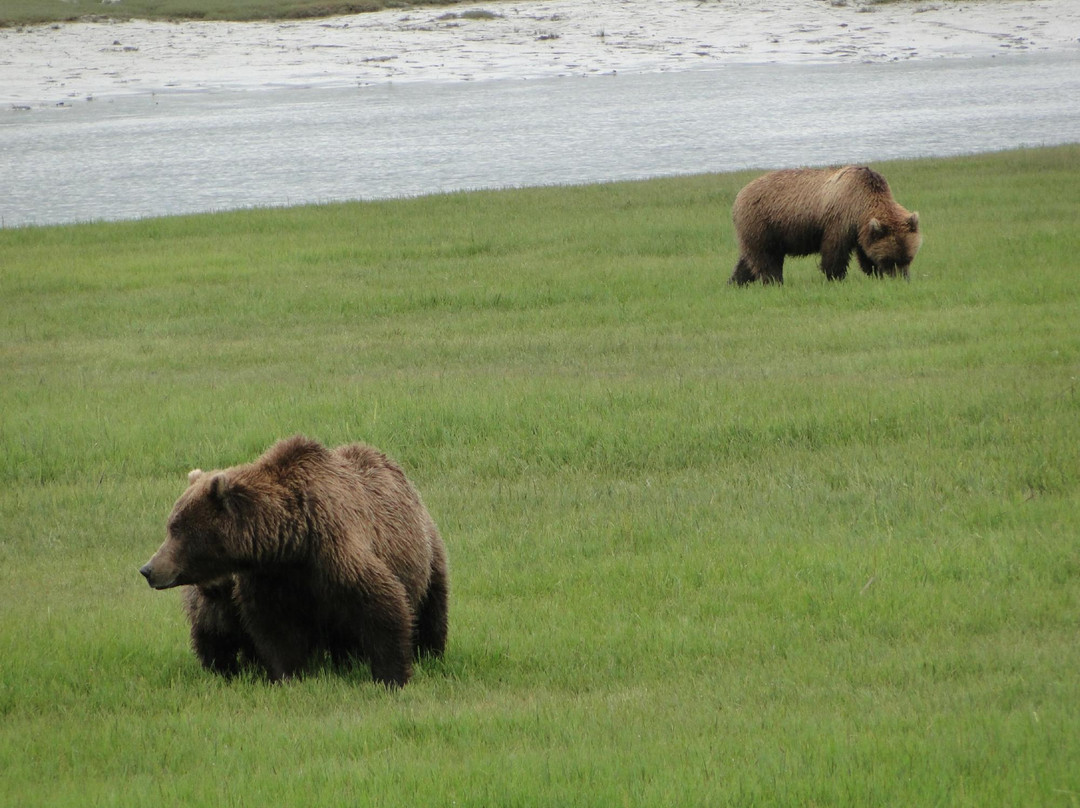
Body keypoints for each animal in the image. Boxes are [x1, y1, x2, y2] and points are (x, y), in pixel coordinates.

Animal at [139, 436, 448, 688]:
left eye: (177, 530)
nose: (148, 569)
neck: (291, 542)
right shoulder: (273, 578)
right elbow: (276, 631)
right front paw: (289, 677)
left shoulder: (334, 551)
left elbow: (382, 604)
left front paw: (391, 677)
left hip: (427, 553)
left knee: (432, 607)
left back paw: (430, 654)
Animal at [728, 166, 921, 285]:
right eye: (889, 260)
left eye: (908, 258)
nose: (902, 279)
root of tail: (739, 195)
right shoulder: (840, 220)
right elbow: (834, 252)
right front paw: (836, 277)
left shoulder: (861, 231)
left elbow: (865, 253)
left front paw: (874, 273)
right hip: (763, 223)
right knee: (765, 258)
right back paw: (774, 281)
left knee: (748, 259)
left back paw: (736, 282)